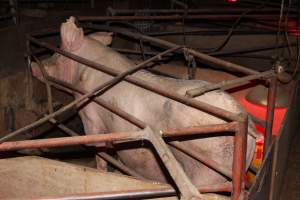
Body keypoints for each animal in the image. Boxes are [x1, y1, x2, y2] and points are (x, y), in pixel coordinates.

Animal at [30, 16, 256, 187]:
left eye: (57, 55)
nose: (33, 65)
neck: (84, 70)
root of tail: (248, 128)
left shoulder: (89, 112)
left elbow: (98, 148)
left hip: (207, 166)